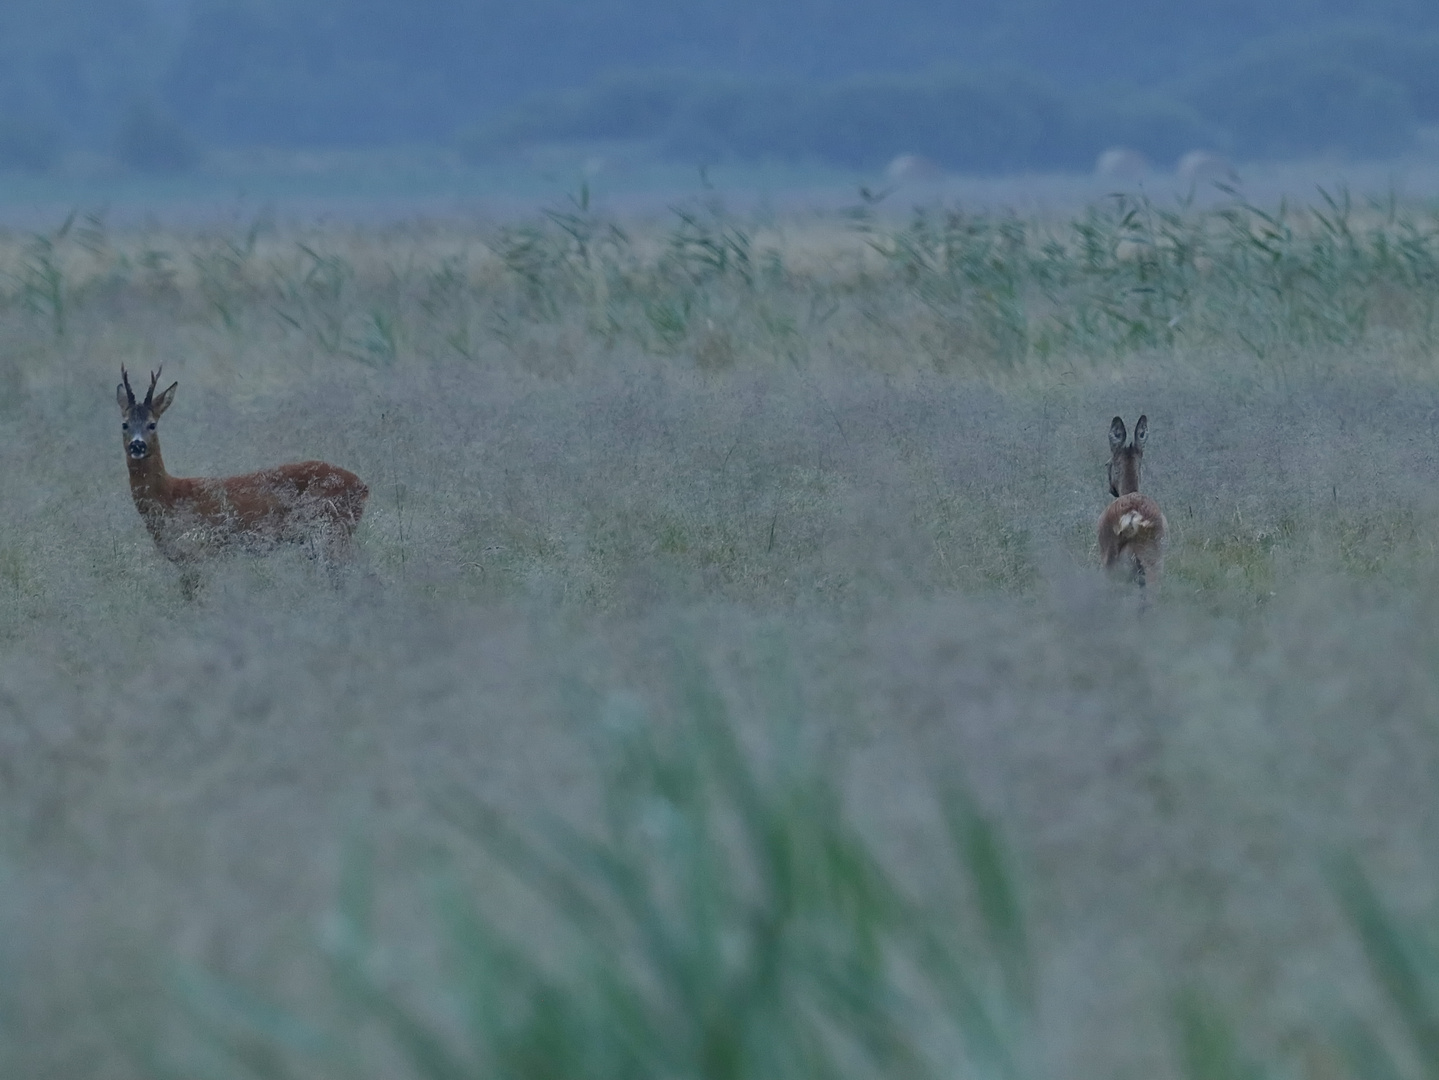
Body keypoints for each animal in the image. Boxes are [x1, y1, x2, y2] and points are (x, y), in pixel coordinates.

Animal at [115, 371, 368, 592]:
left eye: (152, 424)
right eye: (124, 424)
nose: (137, 445)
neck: (170, 496)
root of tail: (364, 487)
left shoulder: (201, 552)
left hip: (331, 532)